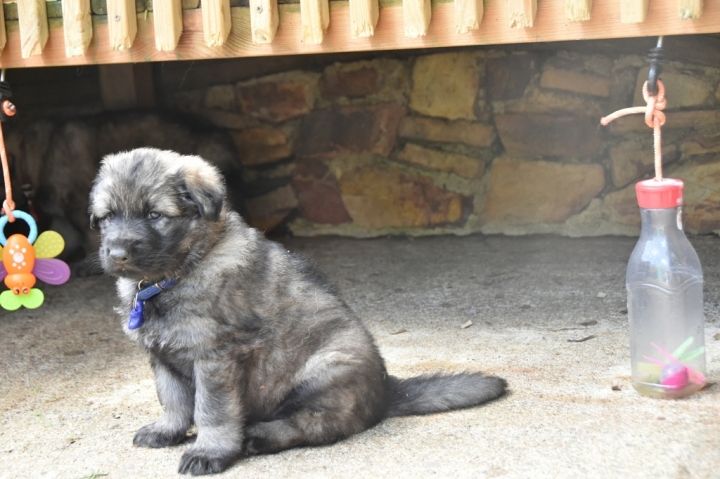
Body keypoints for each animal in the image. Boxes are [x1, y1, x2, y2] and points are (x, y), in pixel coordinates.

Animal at [89, 148, 507, 475]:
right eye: (107, 217)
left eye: (155, 215)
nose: (117, 254)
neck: (178, 273)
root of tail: (387, 391)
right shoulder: (163, 356)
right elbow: (173, 400)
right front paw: (167, 431)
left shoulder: (215, 358)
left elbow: (212, 411)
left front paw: (209, 451)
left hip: (326, 367)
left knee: (315, 425)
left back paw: (259, 436)